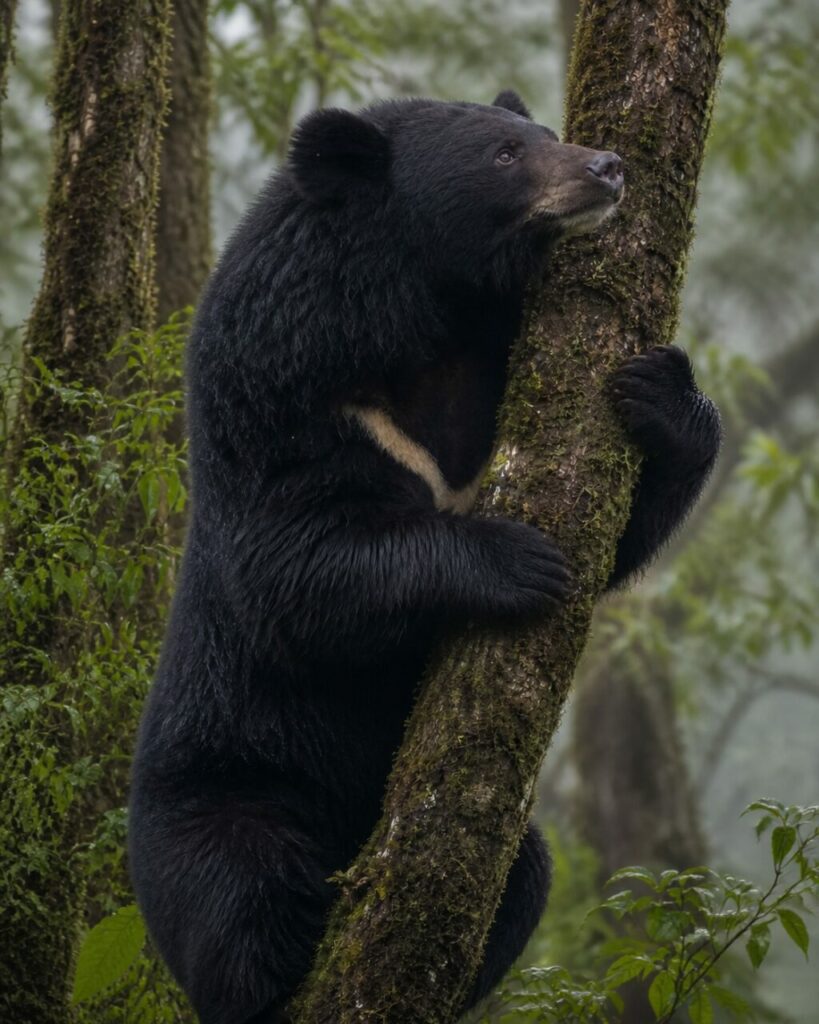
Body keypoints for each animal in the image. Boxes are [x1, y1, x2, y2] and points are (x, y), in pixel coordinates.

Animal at [128, 90, 721, 1024]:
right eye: (506, 153)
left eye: (547, 133)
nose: (607, 167)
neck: (427, 310)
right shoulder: (280, 399)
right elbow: (295, 566)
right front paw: (520, 561)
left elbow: (619, 528)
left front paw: (660, 389)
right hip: (223, 794)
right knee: (240, 902)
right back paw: (286, 957)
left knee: (521, 878)